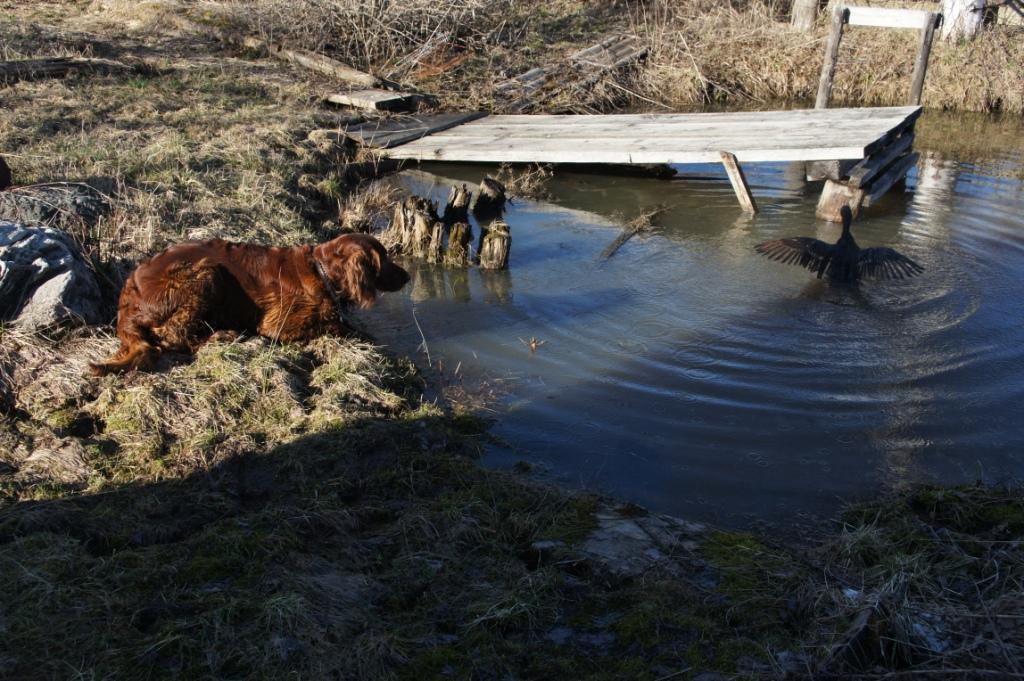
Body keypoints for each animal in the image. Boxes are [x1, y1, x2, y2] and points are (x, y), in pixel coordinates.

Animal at [89, 232, 407, 372]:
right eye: (385, 259)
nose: (407, 275)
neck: (321, 270)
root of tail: (126, 299)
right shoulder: (278, 324)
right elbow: (336, 326)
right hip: (204, 272)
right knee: (173, 336)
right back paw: (222, 335)